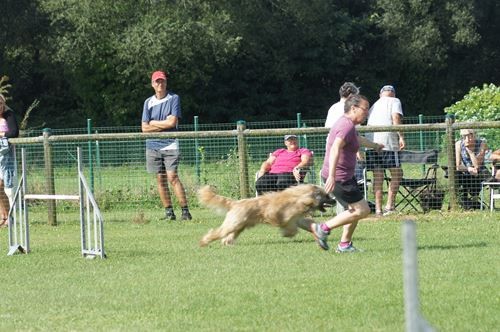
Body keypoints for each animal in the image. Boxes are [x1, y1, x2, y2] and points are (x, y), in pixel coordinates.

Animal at [197, 184, 334, 246]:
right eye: (326, 196)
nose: (334, 200)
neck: (300, 197)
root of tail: (236, 203)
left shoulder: (298, 219)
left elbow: (308, 224)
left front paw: (318, 230)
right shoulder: (288, 219)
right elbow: (291, 229)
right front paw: (287, 234)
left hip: (239, 226)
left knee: (228, 236)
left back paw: (227, 243)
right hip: (233, 224)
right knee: (218, 232)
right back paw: (204, 241)